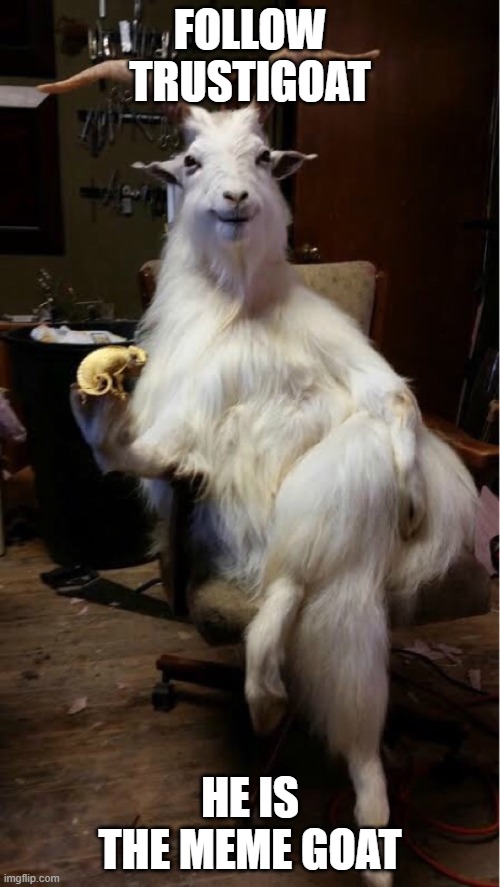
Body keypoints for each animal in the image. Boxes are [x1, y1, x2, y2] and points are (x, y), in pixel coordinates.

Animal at [41, 60, 477, 886]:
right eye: (189, 161)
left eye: (264, 157)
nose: (237, 200)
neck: (242, 305)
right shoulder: (181, 442)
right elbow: (140, 455)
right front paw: (96, 393)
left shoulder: (363, 371)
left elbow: (396, 401)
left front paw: (409, 491)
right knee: (294, 591)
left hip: (332, 522)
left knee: (306, 574)